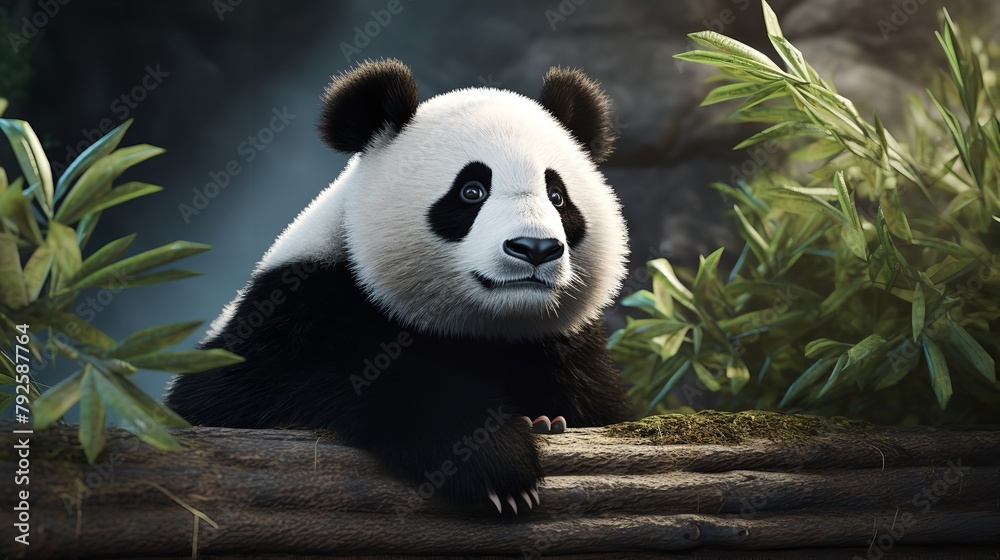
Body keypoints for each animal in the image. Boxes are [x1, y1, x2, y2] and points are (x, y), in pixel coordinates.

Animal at [164, 59, 634, 513]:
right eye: (472, 191)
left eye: (557, 196)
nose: (534, 248)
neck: (479, 327)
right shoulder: (298, 305)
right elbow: (256, 389)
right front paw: (496, 460)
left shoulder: (569, 351)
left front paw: (542, 421)